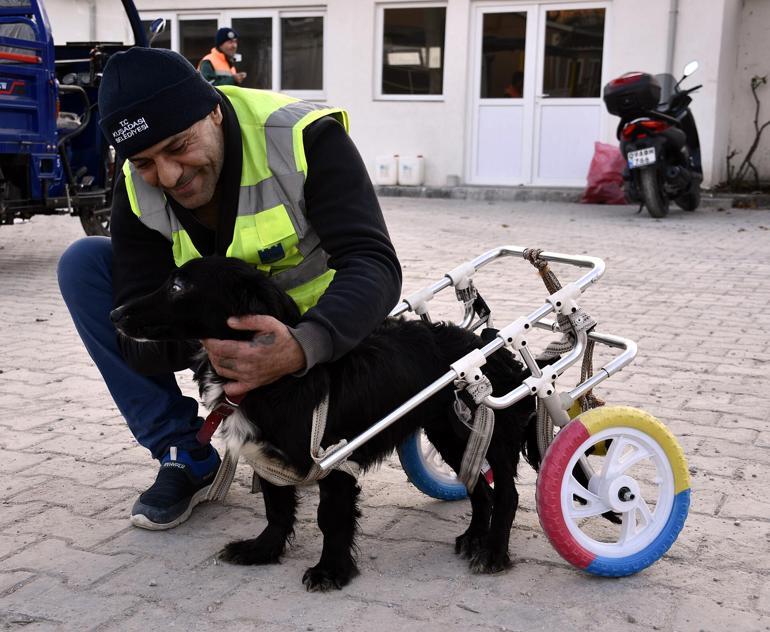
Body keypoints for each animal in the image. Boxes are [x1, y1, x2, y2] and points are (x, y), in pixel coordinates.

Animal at [111, 254, 536, 592]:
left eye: (178, 285)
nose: (114, 314)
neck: (278, 382)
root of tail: (488, 344)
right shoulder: (267, 459)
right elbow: (276, 508)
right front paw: (263, 550)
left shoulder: (334, 461)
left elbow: (330, 519)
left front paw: (330, 571)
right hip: (450, 435)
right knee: (479, 486)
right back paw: (474, 537)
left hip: (488, 432)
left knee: (506, 494)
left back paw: (493, 552)